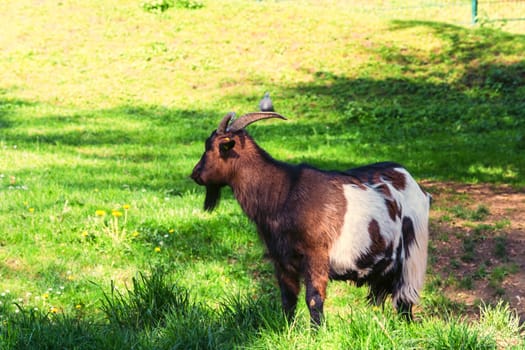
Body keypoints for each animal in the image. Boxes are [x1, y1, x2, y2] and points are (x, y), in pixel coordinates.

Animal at [190, 112, 428, 326]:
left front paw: (317, 334)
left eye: (216, 147)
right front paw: (287, 331)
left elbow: (313, 298)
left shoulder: (316, 255)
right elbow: (288, 299)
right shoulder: (281, 259)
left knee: (405, 298)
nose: (195, 174)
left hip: (412, 256)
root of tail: (411, 181)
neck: (284, 192)